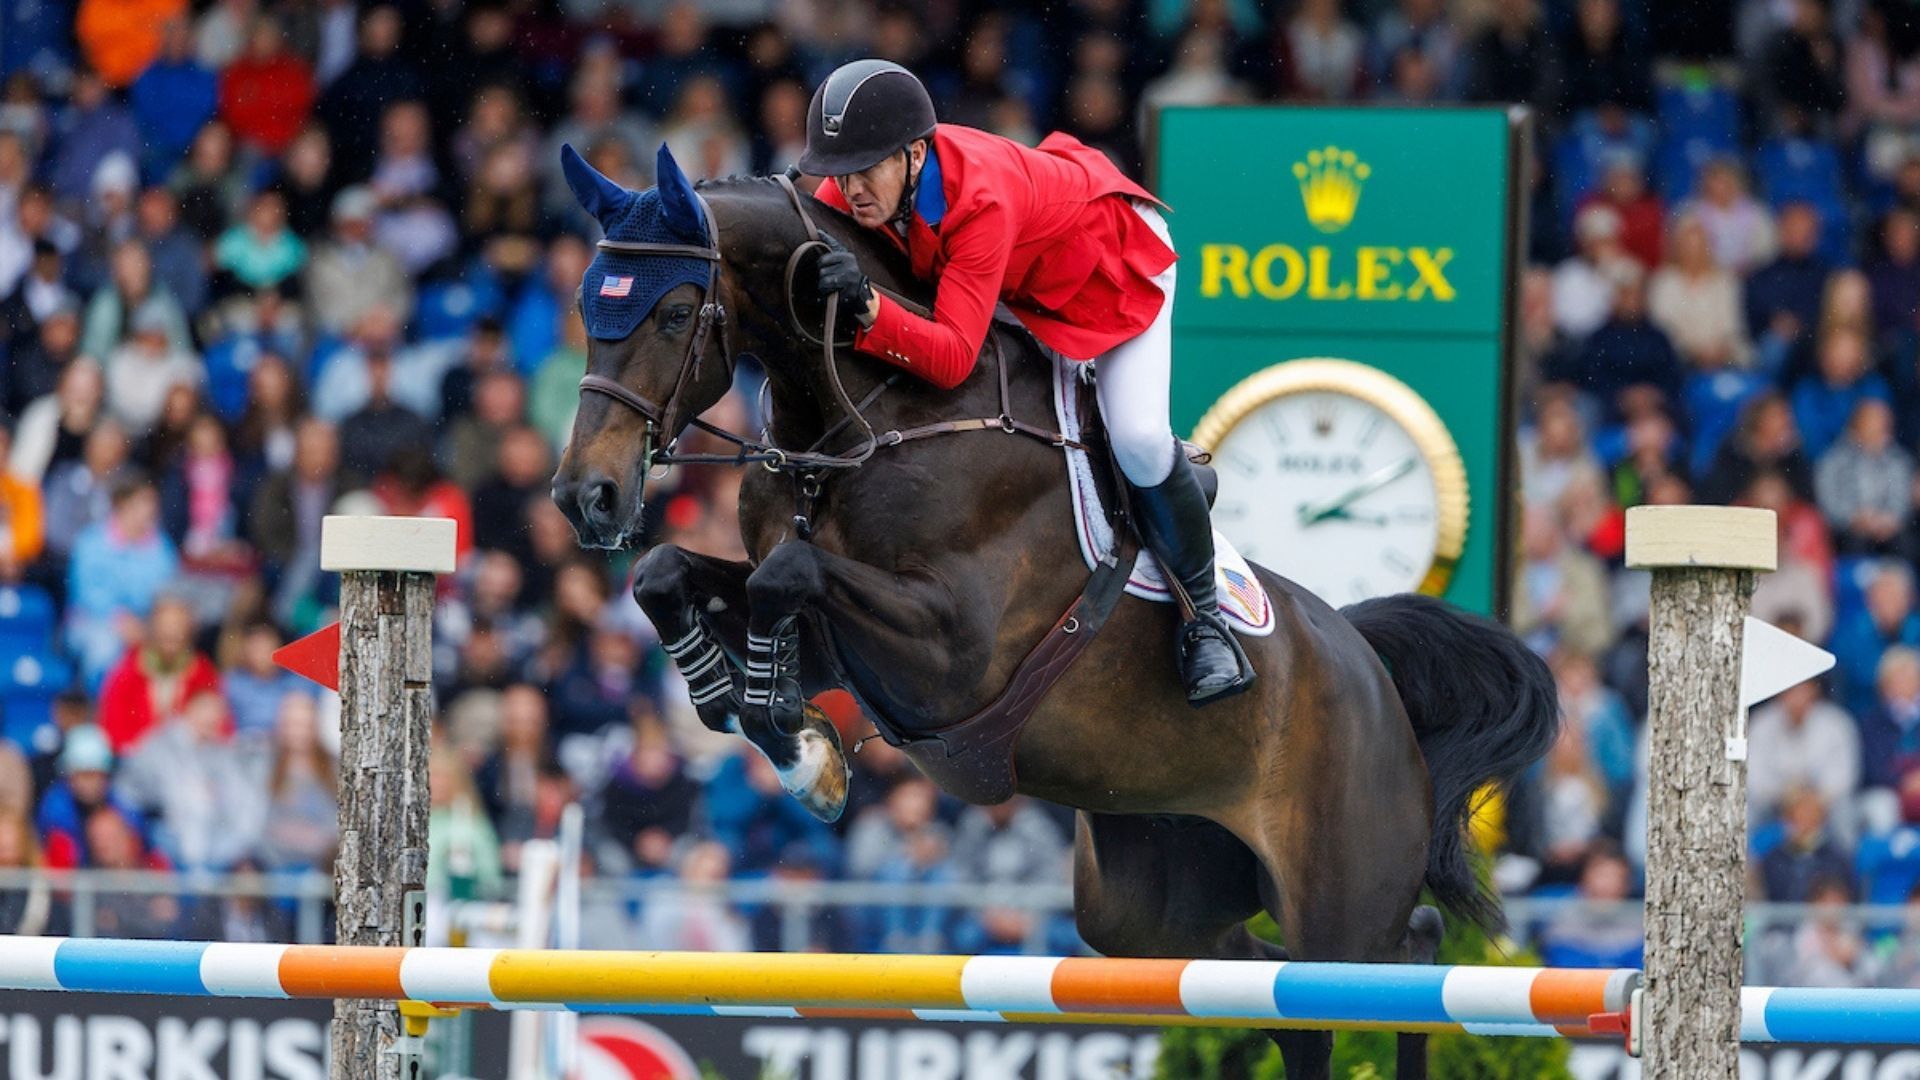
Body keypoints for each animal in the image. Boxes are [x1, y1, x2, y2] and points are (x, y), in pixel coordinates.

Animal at [551, 143, 1557, 1079]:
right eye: (588, 312)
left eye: (675, 313)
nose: (586, 498)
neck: (865, 417)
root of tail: (1373, 671)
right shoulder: (845, 644)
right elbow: (672, 574)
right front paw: (755, 713)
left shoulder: (953, 656)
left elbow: (784, 576)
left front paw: (800, 753)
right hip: (1149, 906)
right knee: (1283, 983)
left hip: (1336, 893)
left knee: (1383, 965)